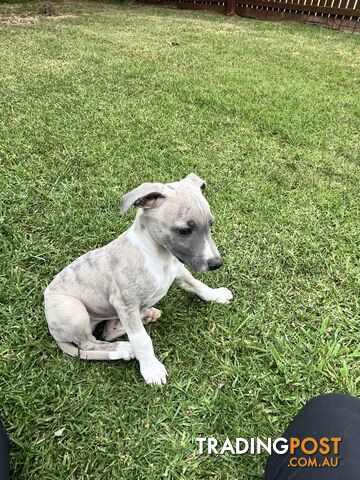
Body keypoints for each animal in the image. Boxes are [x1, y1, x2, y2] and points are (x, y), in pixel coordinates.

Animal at [44, 174, 233, 384]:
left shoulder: (179, 273)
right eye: (184, 230)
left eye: (211, 224)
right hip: (73, 309)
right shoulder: (124, 304)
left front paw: (217, 295)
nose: (216, 263)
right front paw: (151, 368)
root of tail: (54, 332)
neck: (158, 256)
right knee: (89, 344)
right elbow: (142, 340)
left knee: (107, 332)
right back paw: (124, 348)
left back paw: (145, 316)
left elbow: (198, 285)